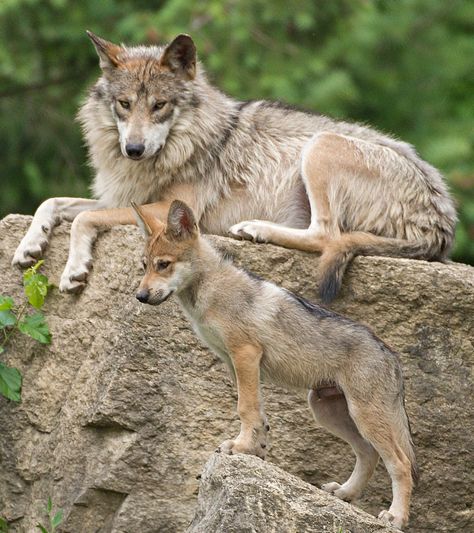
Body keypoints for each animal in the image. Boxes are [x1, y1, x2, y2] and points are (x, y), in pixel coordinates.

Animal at [12, 32, 456, 300]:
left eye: (159, 105)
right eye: (124, 104)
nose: (133, 149)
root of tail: (442, 224)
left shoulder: (168, 209)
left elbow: (84, 220)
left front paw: (74, 269)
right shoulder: (119, 198)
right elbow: (52, 203)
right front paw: (29, 244)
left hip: (320, 146)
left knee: (326, 235)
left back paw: (255, 229)